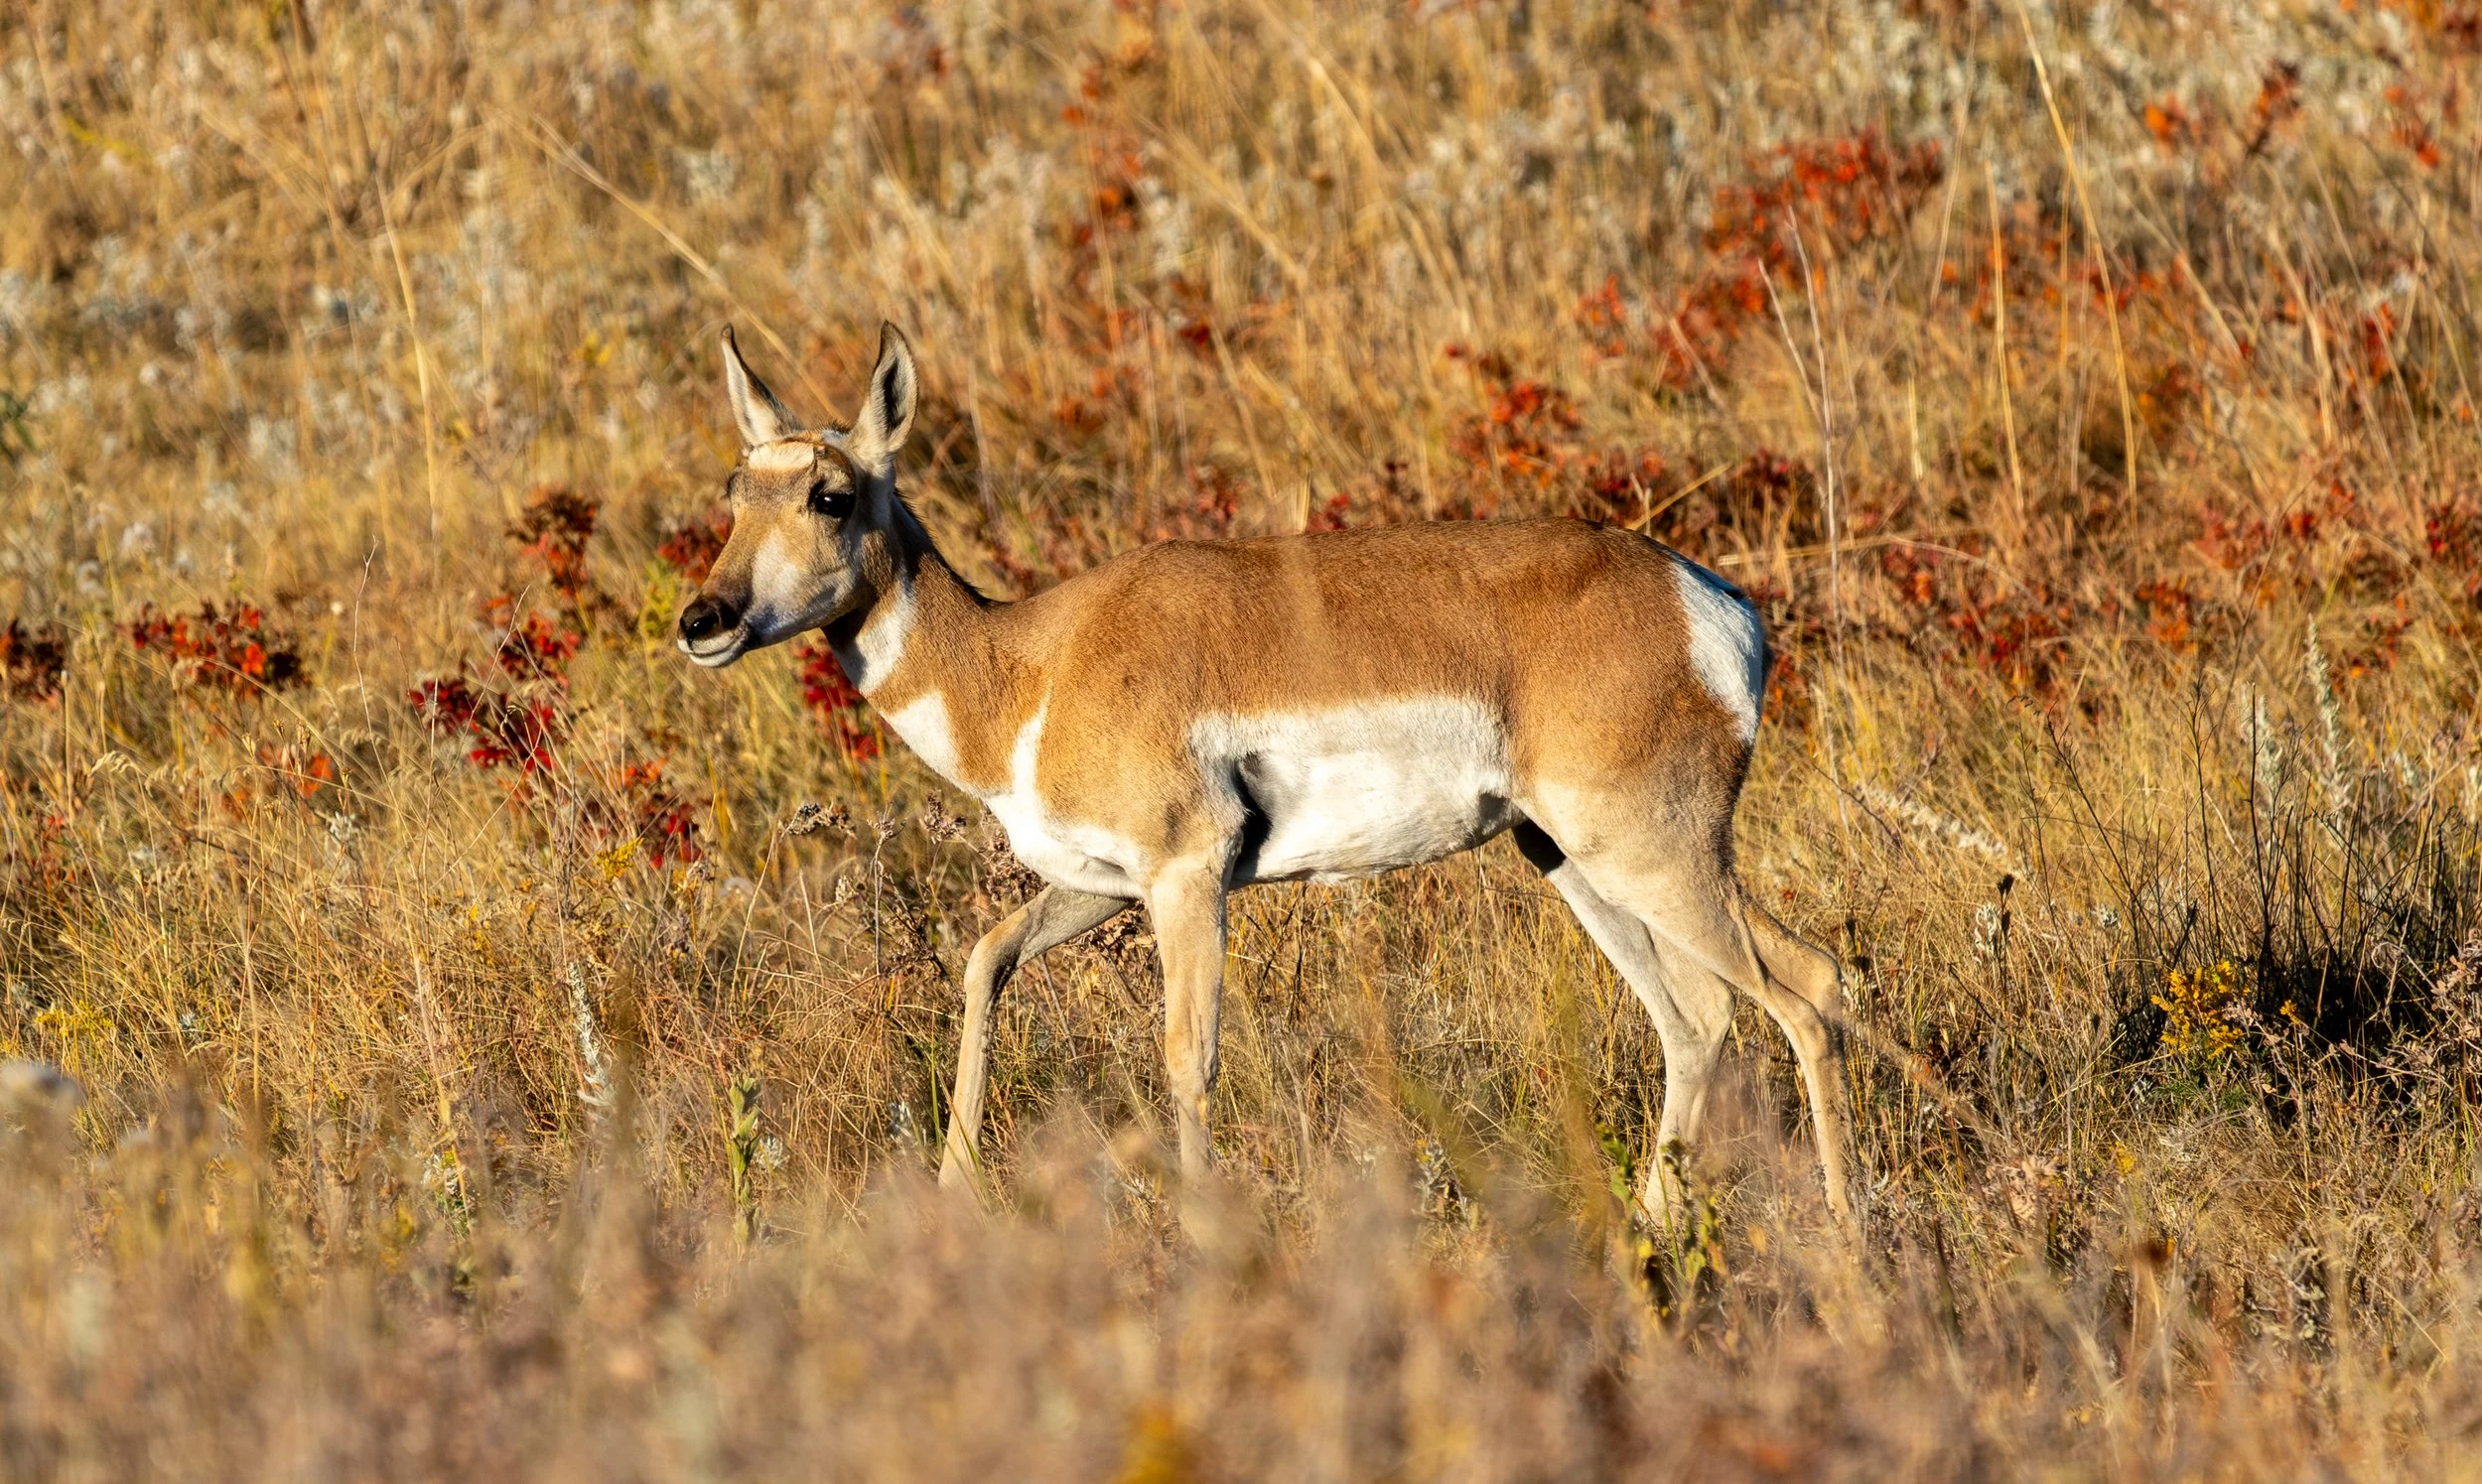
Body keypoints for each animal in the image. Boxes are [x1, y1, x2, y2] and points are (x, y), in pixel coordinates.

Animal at [678, 323, 1856, 1223]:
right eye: (735, 488)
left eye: (830, 494)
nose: (704, 618)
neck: (1033, 661)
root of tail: (1708, 599)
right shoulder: (1103, 885)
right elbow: (984, 959)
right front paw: (954, 1186)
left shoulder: (1187, 877)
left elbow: (1186, 1056)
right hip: (1572, 860)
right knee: (1697, 1018)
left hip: (1651, 853)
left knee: (1808, 987)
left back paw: (1850, 1256)